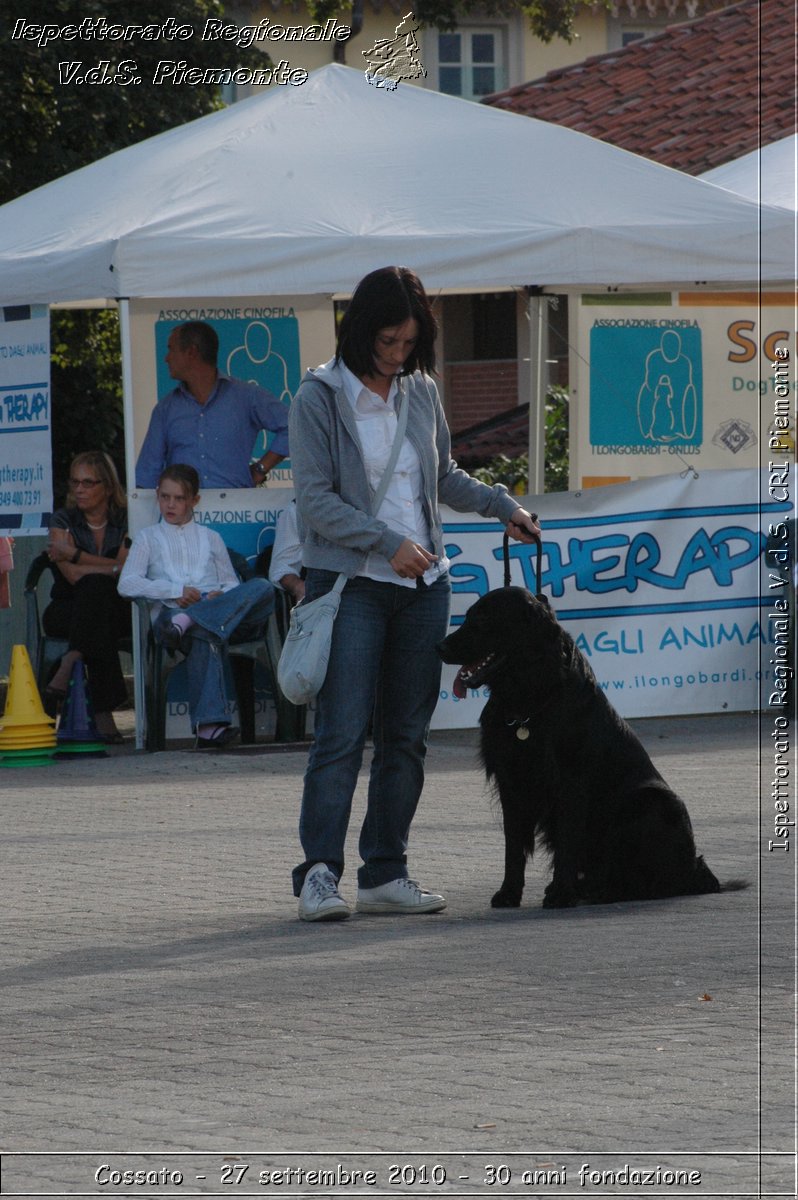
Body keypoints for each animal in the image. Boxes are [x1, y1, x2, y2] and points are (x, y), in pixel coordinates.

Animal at [439, 590, 724, 907]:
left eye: (484, 619)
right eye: (468, 616)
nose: (440, 647)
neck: (530, 696)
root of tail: (694, 871)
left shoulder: (569, 780)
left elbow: (567, 841)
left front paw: (561, 894)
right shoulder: (510, 780)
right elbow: (513, 846)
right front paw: (509, 893)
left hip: (654, 801)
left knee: (649, 882)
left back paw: (599, 892)